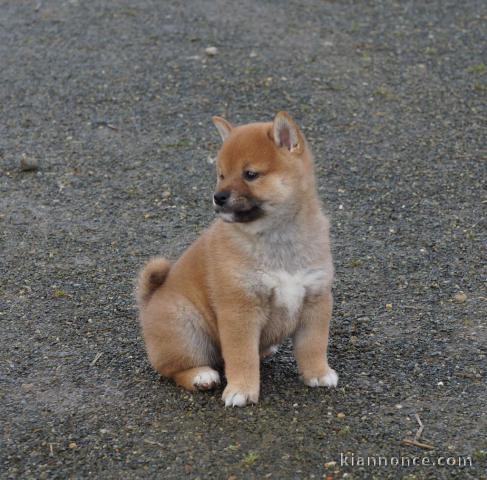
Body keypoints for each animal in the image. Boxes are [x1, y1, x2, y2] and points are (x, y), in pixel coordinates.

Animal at [136, 111, 336, 404]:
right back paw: (201, 376)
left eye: (250, 174)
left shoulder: (316, 299)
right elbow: (241, 356)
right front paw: (242, 389)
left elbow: (314, 345)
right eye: (221, 175)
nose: (218, 197)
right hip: (185, 328)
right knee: (175, 369)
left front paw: (318, 374)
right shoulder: (240, 308)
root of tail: (149, 301)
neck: (277, 237)